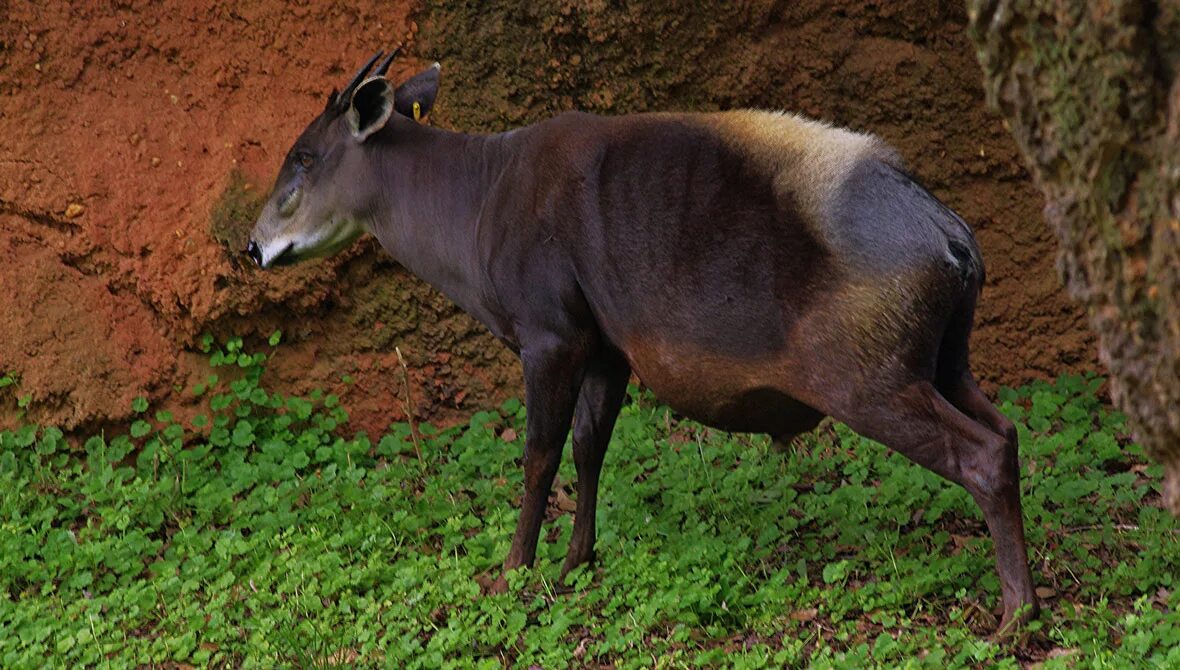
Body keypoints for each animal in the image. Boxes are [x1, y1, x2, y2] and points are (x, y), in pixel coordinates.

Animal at [246, 51, 1033, 627]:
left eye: (305, 156)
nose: (254, 246)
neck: (478, 203)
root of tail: (955, 240)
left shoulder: (550, 332)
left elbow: (538, 456)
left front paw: (512, 572)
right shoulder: (606, 348)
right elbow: (589, 448)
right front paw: (576, 562)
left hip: (866, 374)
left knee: (982, 452)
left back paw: (1014, 617)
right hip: (945, 360)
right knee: (1007, 430)